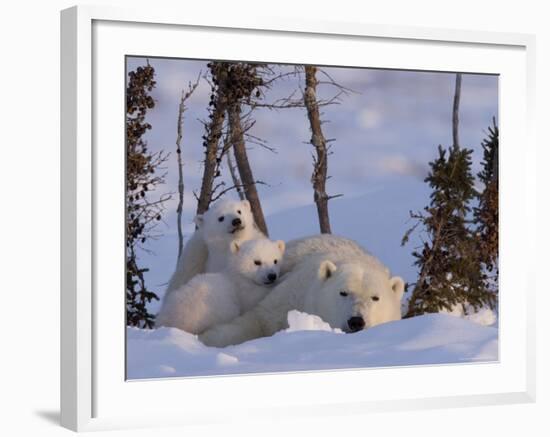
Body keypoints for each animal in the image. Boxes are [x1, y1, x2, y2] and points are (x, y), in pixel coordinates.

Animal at [155, 238, 284, 334]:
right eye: (257, 262)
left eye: (275, 260)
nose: (271, 276)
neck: (237, 275)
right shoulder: (242, 292)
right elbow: (256, 298)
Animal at [199, 235, 406, 348]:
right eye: (343, 292)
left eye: (375, 297)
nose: (356, 321)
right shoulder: (293, 292)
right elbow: (257, 320)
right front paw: (207, 339)